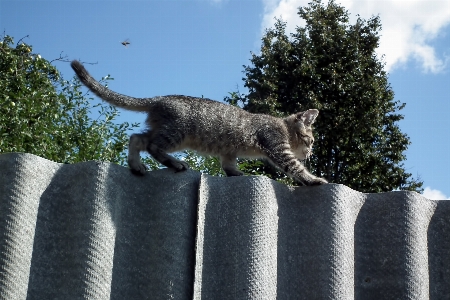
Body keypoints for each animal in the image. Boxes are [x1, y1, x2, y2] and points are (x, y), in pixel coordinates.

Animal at [72, 60, 328, 186]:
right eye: (311, 140)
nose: (311, 151)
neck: (282, 126)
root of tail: (159, 99)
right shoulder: (277, 146)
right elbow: (294, 167)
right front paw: (314, 179)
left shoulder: (229, 151)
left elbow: (228, 165)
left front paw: (236, 173)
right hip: (177, 134)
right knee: (152, 145)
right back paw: (174, 163)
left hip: (167, 130)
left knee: (136, 138)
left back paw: (136, 166)